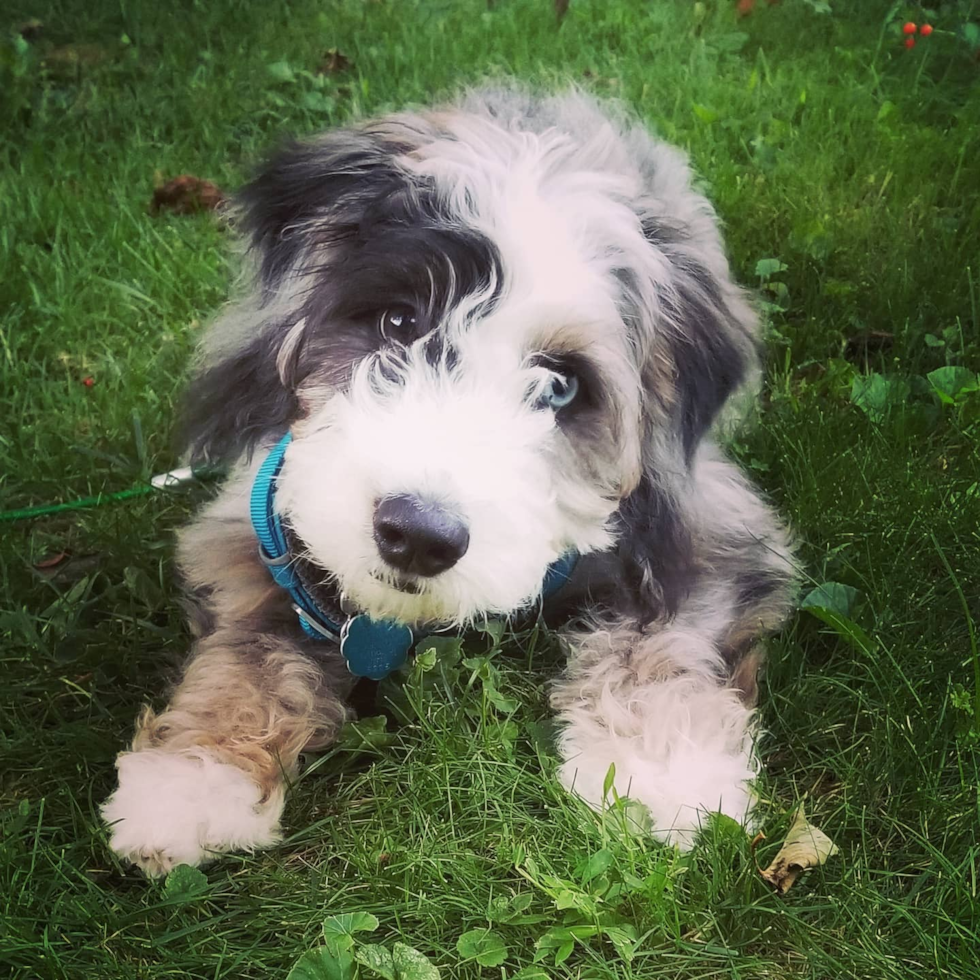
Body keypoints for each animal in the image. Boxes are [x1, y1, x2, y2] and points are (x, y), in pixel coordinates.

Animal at [103, 88, 796, 876]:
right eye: (399, 322)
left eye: (561, 386)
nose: (417, 536)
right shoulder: (262, 511)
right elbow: (251, 645)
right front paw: (191, 780)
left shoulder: (708, 524)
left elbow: (661, 632)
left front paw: (664, 770)